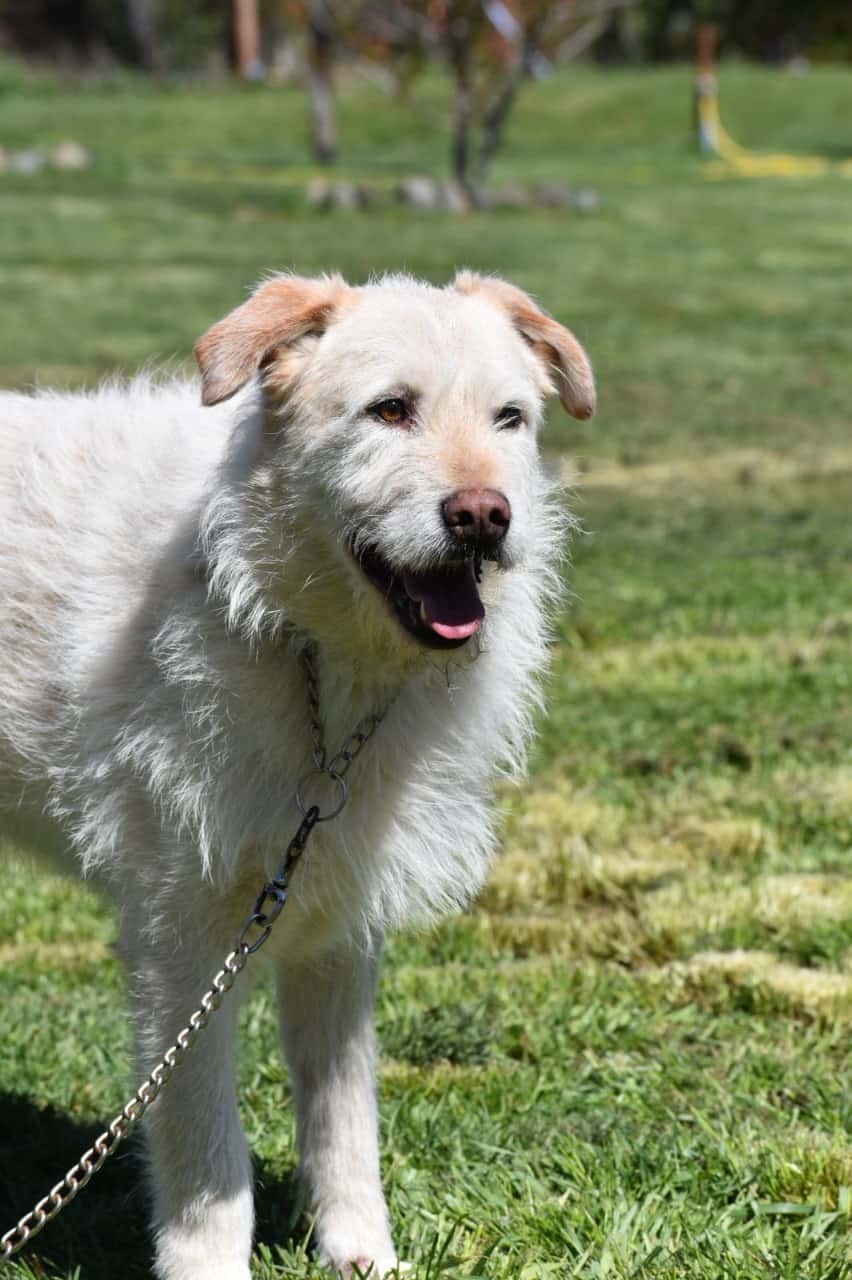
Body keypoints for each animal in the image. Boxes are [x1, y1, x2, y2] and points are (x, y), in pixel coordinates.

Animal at [0, 272, 593, 1280]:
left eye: (510, 418)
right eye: (390, 409)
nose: (484, 515)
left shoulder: (336, 927)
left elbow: (343, 1113)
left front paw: (361, 1254)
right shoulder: (182, 937)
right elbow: (206, 1149)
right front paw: (208, 1266)